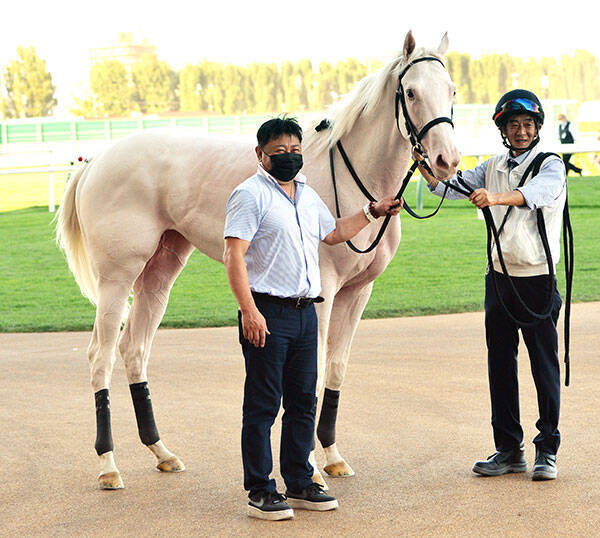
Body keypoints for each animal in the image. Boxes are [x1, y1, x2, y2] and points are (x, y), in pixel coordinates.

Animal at [56, 31, 460, 488]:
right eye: (410, 92)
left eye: (451, 91)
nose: (447, 161)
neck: (351, 176)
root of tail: (96, 161)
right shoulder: (322, 294)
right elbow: (311, 372)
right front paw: (311, 469)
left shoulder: (359, 293)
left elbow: (336, 368)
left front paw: (332, 456)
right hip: (117, 277)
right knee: (101, 355)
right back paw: (108, 465)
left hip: (159, 272)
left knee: (135, 349)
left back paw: (161, 451)